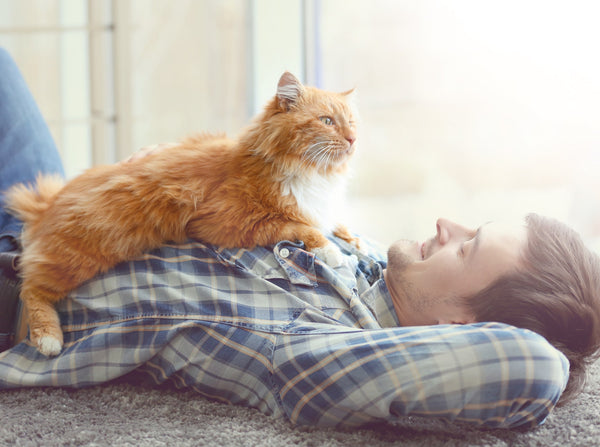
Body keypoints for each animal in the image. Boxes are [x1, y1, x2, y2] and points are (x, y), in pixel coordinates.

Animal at [4, 72, 358, 356]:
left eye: (352, 122)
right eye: (327, 121)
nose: (353, 139)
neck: (311, 173)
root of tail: (46, 204)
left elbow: (332, 222)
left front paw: (351, 238)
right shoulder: (231, 221)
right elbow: (299, 225)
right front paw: (332, 251)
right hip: (80, 255)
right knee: (30, 287)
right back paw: (49, 340)